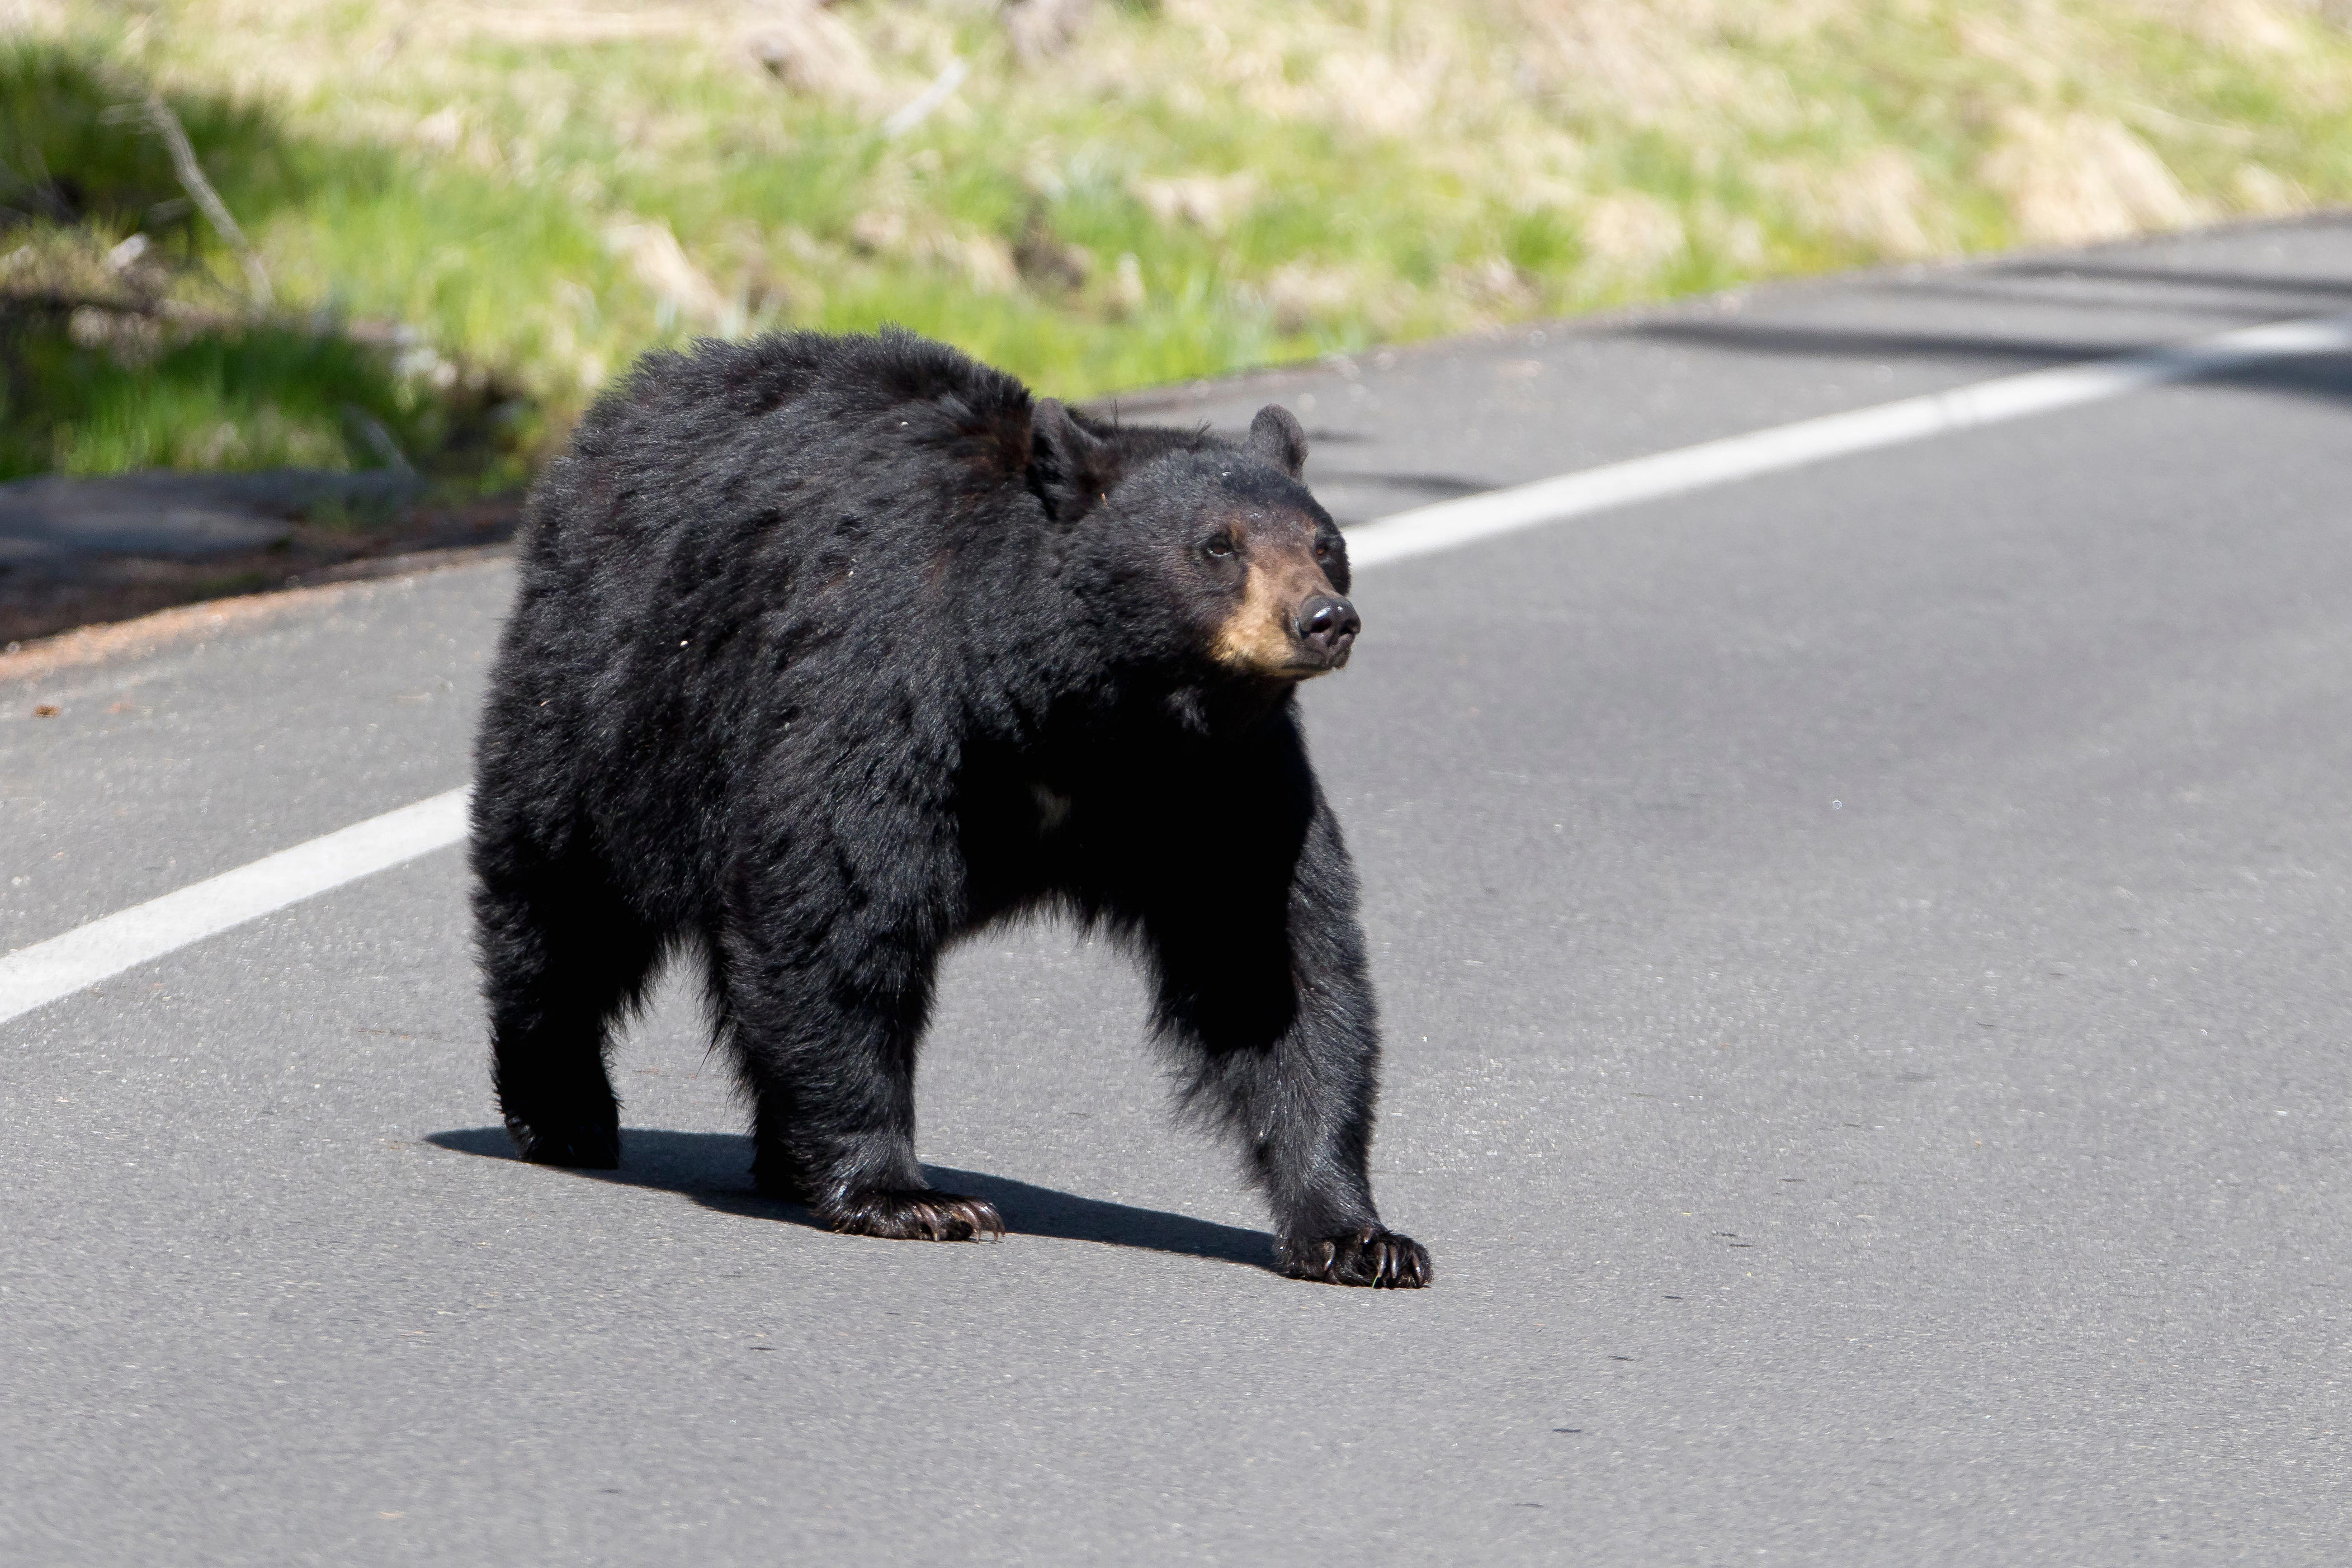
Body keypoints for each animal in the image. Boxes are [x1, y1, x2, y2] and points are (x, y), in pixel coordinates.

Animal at [473, 329, 1430, 1288]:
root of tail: (630, 402)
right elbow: (837, 906)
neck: (1079, 713)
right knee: (565, 898)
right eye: (1217, 546)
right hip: (619, 690)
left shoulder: (1217, 777)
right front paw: (908, 1196)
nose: (1323, 618)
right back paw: (562, 1109)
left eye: (1324, 542)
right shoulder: (888, 688)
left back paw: (777, 1153)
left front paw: (1356, 1233)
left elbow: (1268, 957)